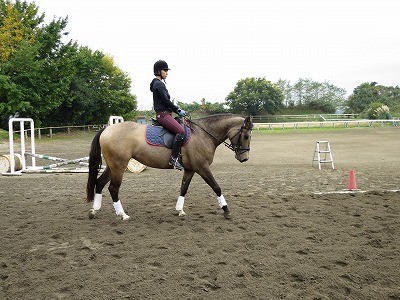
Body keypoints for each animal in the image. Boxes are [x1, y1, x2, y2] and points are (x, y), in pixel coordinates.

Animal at [86, 113, 253, 219]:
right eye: (246, 136)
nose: (244, 158)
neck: (203, 134)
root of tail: (107, 129)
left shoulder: (191, 169)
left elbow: (184, 188)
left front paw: (179, 210)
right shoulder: (202, 167)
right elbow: (216, 187)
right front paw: (226, 210)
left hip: (113, 166)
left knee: (99, 183)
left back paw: (94, 210)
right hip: (119, 166)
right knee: (113, 188)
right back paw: (122, 215)